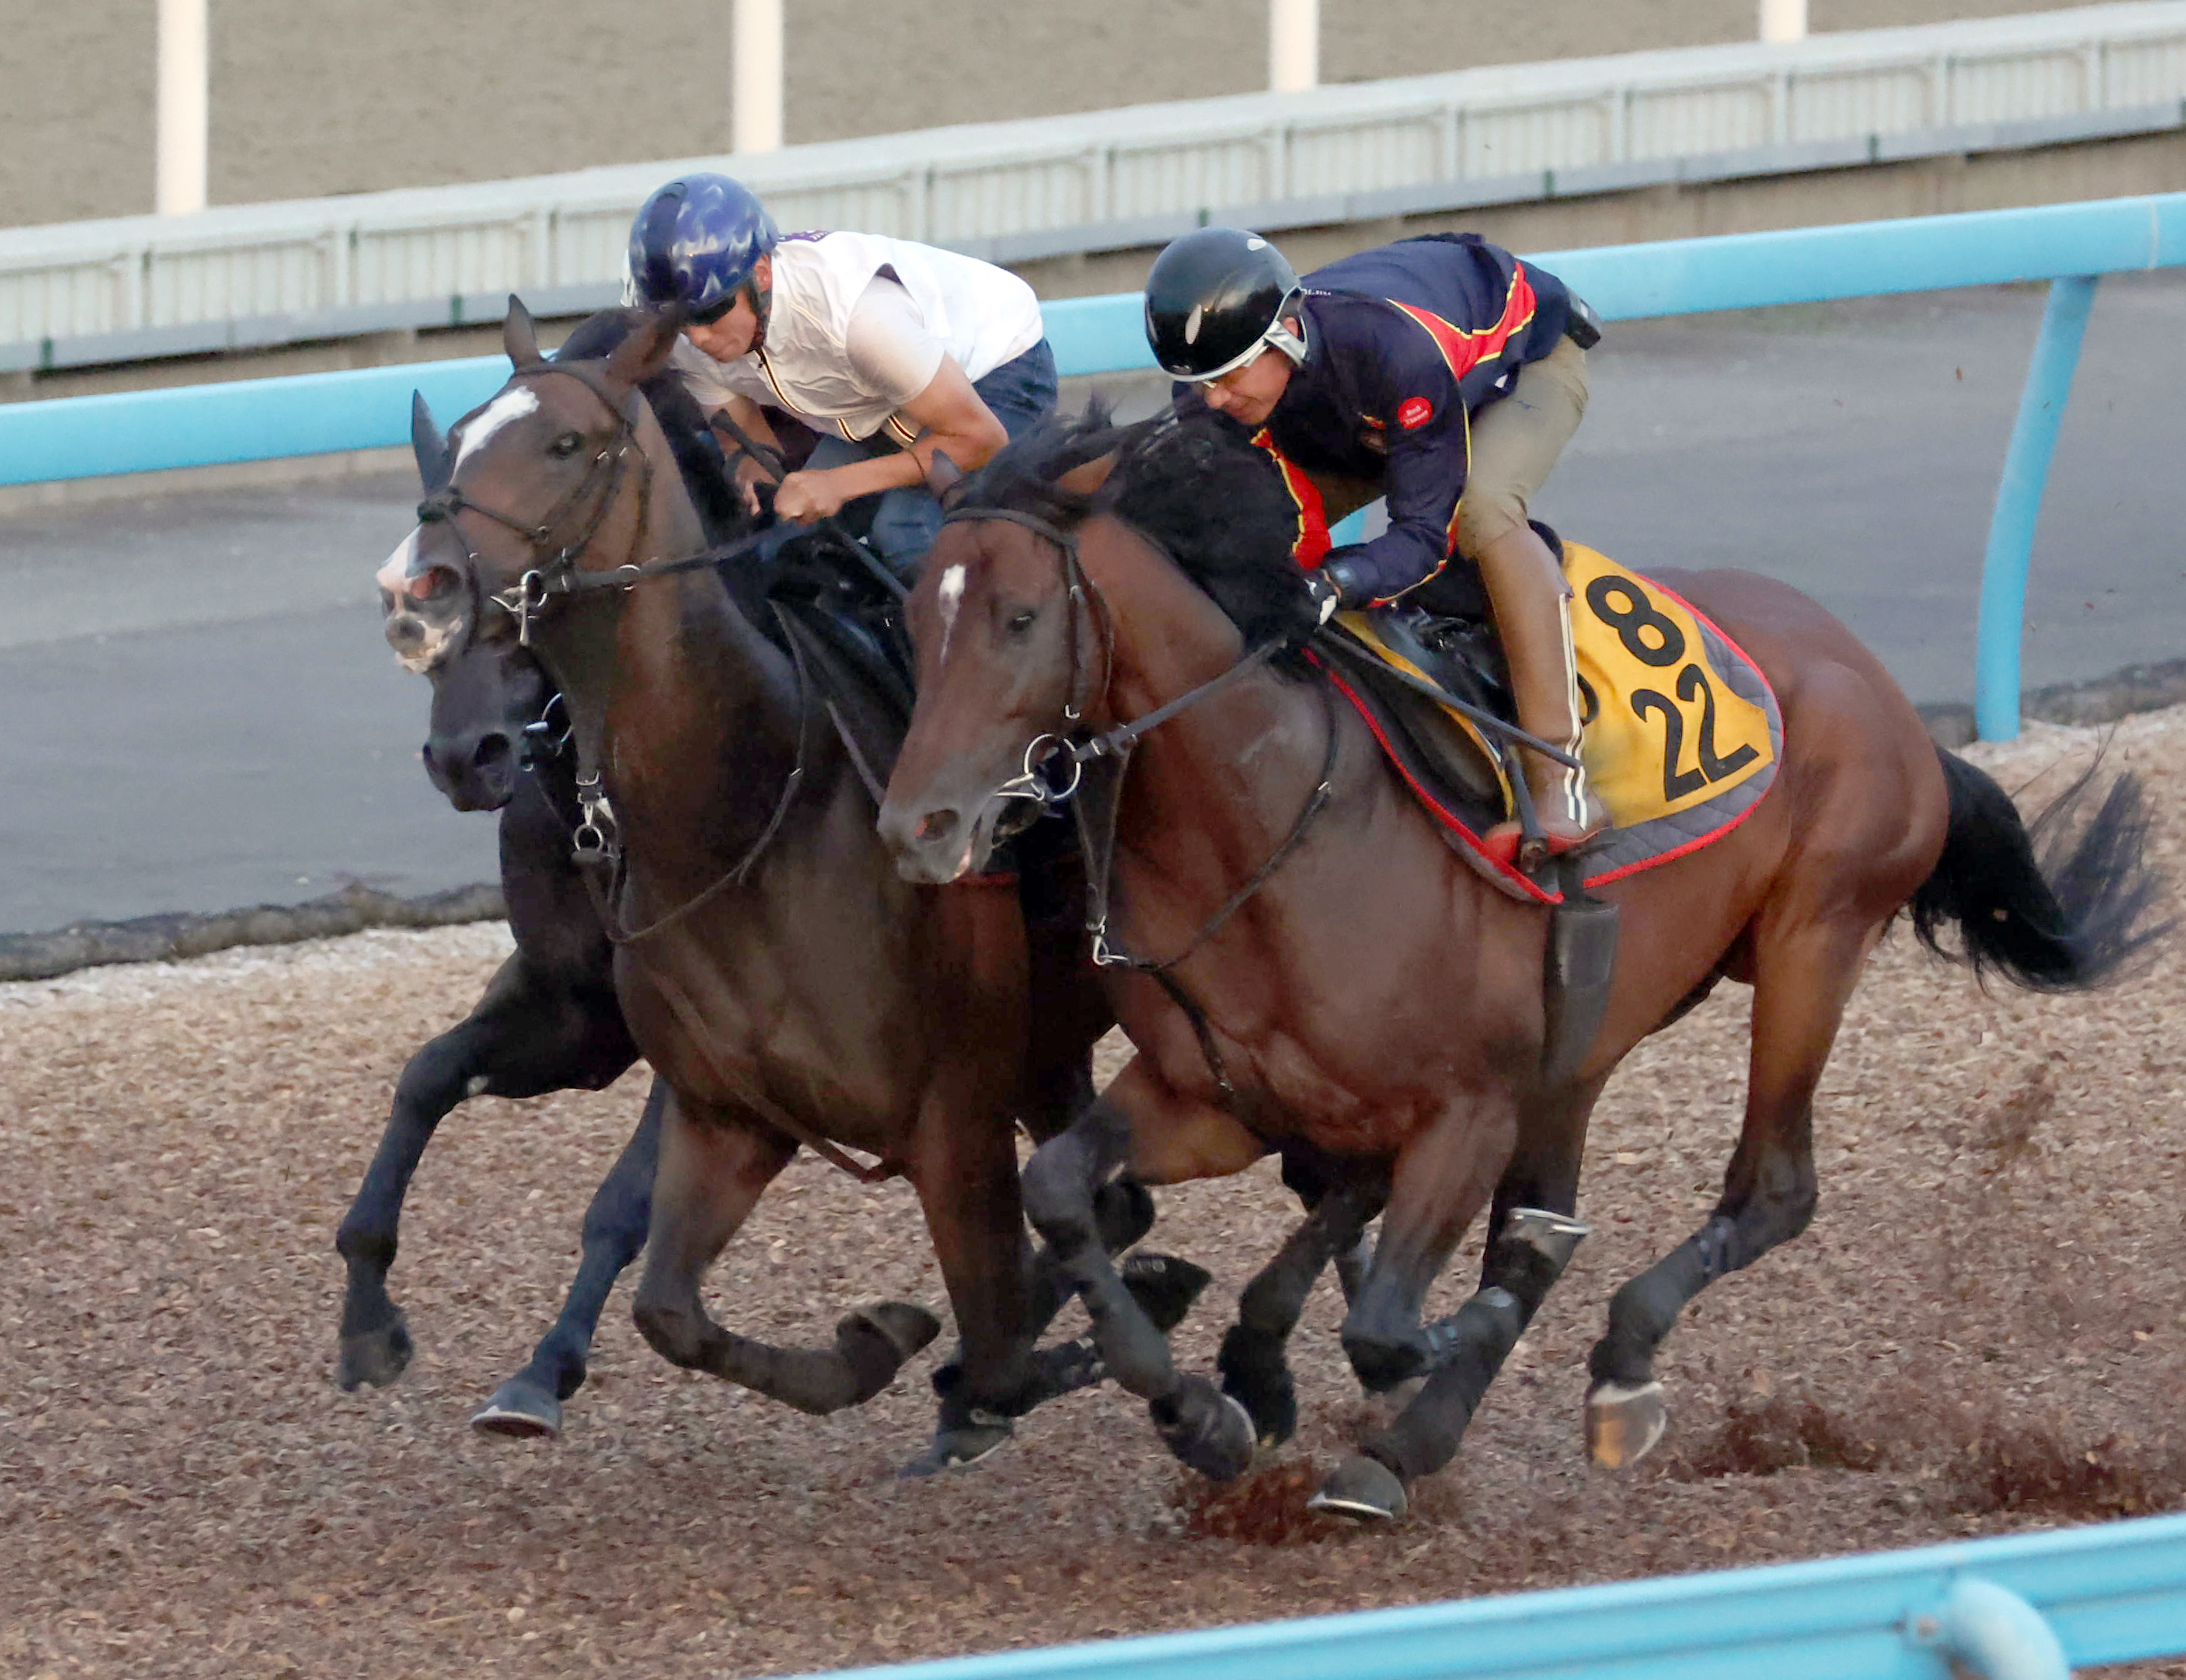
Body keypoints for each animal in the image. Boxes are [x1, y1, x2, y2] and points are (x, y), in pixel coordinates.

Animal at [363, 306, 1145, 1468]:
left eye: (564, 444)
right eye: (454, 445)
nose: (468, 755)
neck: (744, 801)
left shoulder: (906, 1101)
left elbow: (621, 1205)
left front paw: (539, 1370)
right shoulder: (633, 1045)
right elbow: (436, 1083)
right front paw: (368, 1317)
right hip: (1047, 1042)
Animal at [874, 411, 2169, 1520]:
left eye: (1020, 618)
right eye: (913, 621)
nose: (916, 826)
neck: (1270, 819)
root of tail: (1877, 686)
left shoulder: (1467, 1107)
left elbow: (1399, 1322)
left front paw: (1403, 1359)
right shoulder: (1210, 1099)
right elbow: (1060, 1188)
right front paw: (1200, 1408)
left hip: (1812, 941)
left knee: (1769, 1190)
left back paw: (1600, 1364)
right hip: (1585, 1034)